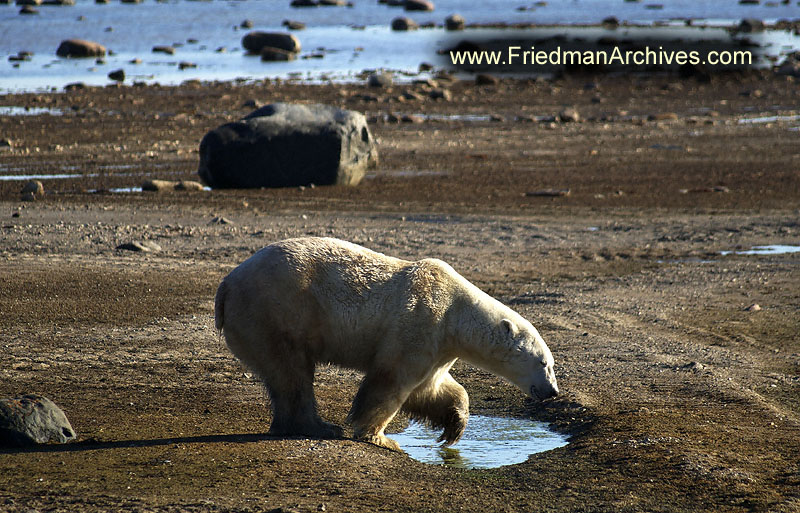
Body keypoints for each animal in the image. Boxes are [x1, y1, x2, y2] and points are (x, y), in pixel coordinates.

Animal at [216, 236, 560, 448]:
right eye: (544, 363)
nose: (553, 392)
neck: (456, 312)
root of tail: (227, 285)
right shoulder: (423, 319)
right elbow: (391, 381)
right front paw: (380, 437)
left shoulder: (440, 345)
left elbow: (431, 389)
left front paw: (453, 428)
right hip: (276, 312)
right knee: (292, 371)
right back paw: (319, 425)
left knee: (285, 376)